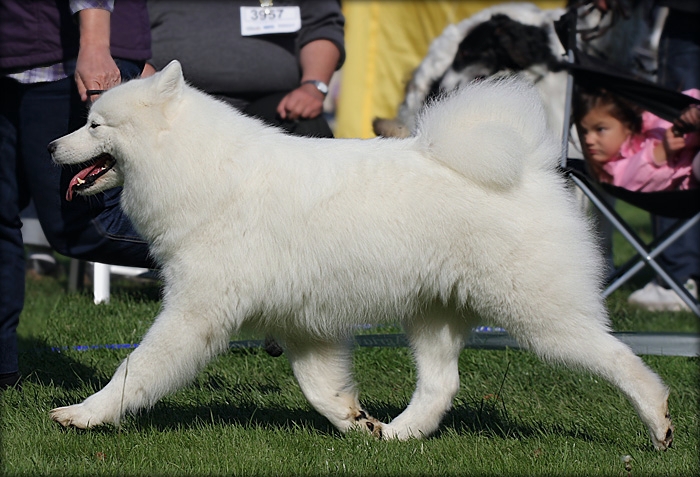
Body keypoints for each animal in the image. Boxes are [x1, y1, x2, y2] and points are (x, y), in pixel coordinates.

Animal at [47, 61, 672, 448]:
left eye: (94, 124)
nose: (53, 146)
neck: (202, 169)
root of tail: (534, 163)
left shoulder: (194, 313)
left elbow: (137, 368)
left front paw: (85, 414)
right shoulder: (301, 325)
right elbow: (323, 390)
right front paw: (358, 424)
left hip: (539, 315)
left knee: (620, 358)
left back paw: (659, 420)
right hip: (432, 316)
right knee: (441, 386)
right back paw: (399, 434)